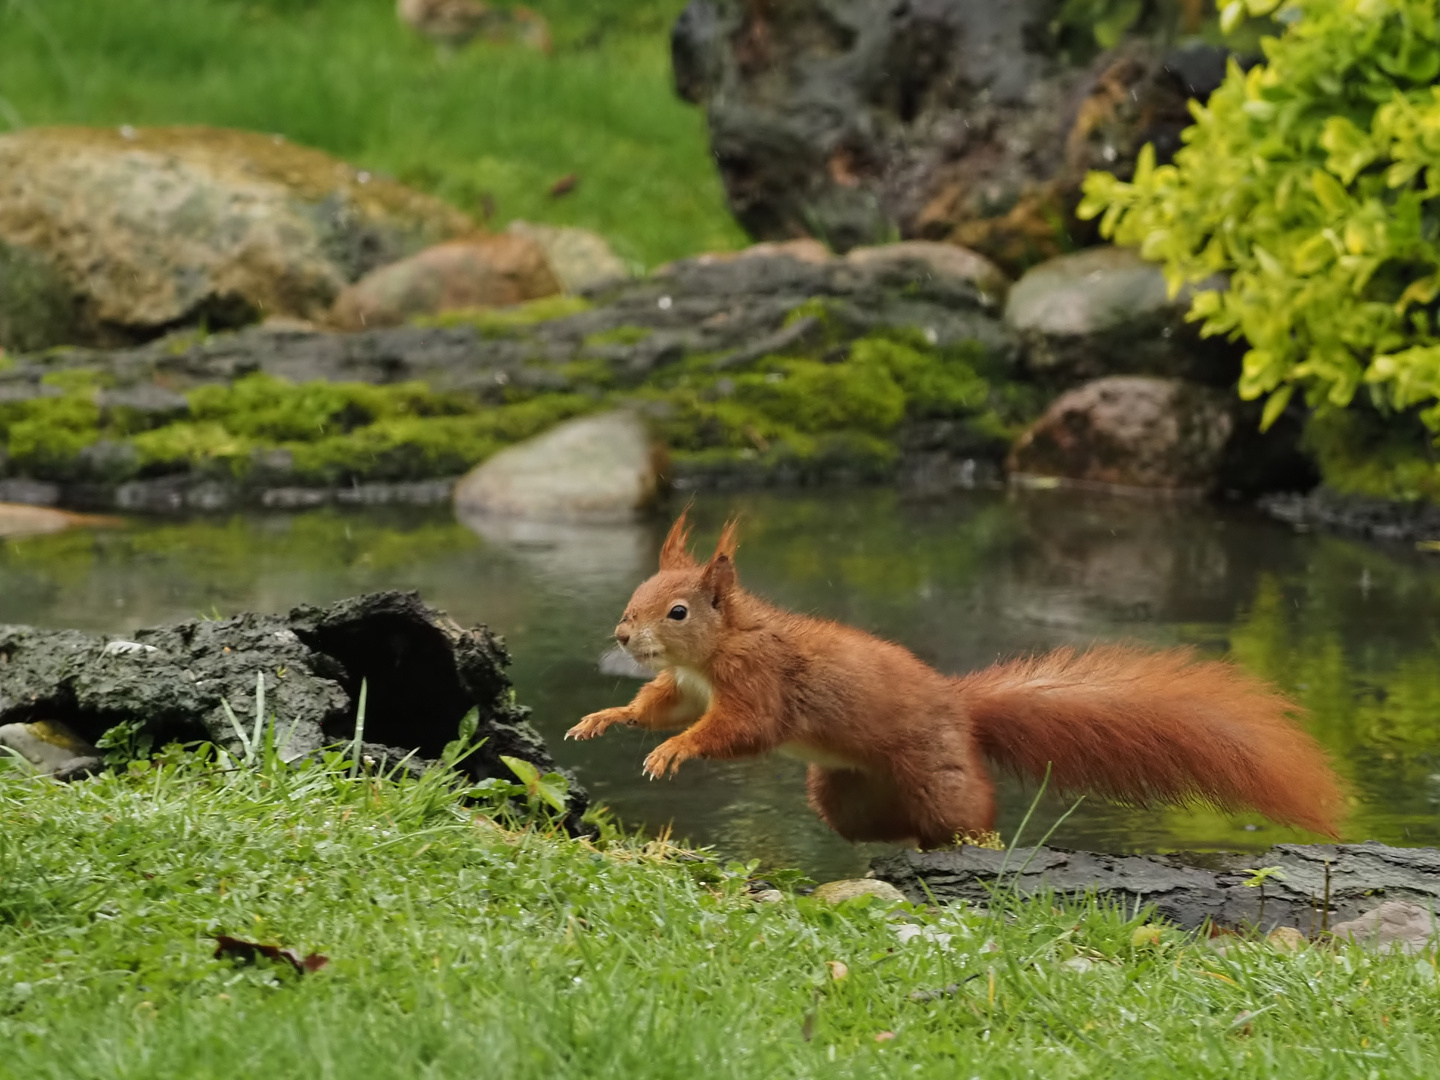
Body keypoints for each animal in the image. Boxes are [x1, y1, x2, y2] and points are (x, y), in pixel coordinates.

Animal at [564, 512, 1347, 852]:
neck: (718, 647)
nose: (623, 637)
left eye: (677, 610)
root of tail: (961, 709)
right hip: (846, 790)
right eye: (636, 595)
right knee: (885, 826)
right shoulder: (687, 686)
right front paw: (606, 719)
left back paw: (978, 846)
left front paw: (674, 752)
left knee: (969, 815)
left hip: (940, 771)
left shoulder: (757, 681)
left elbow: (741, 729)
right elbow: (660, 707)